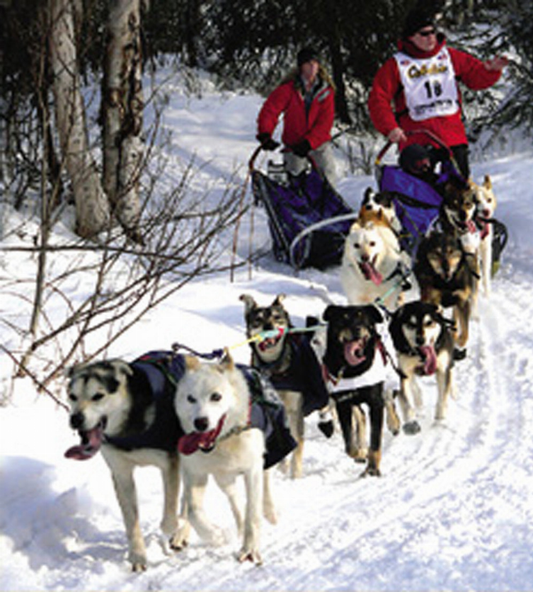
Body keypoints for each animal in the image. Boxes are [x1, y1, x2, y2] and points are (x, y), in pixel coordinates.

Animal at [171, 352, 286, 564]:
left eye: (216, 396)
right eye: (190, 398)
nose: (200, 422)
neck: (224, 441)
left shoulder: (253, 470)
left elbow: (253, 513)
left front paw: (249, 549)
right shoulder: (196, 473)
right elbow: (194, 511)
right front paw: (215, 536)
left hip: (265, 459)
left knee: (265, 485)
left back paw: (270, 512)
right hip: (222, 478)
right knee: (234, 500)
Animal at [240, 294, 330, 478]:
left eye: (276, 317)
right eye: (258, 320)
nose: (268, 327)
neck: (274, 369)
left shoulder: (296, 411)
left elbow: (297, 447)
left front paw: (295, 477)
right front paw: (282, 467)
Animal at [388, 300, 456, 434]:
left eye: (429, 322)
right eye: (411, 324)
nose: (420, 340)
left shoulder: (442, 370)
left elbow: (442, 398)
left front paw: (440, 421)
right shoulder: (403, 373)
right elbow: (406, 401)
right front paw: (410, 423)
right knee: (415, 388)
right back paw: (419, 407)